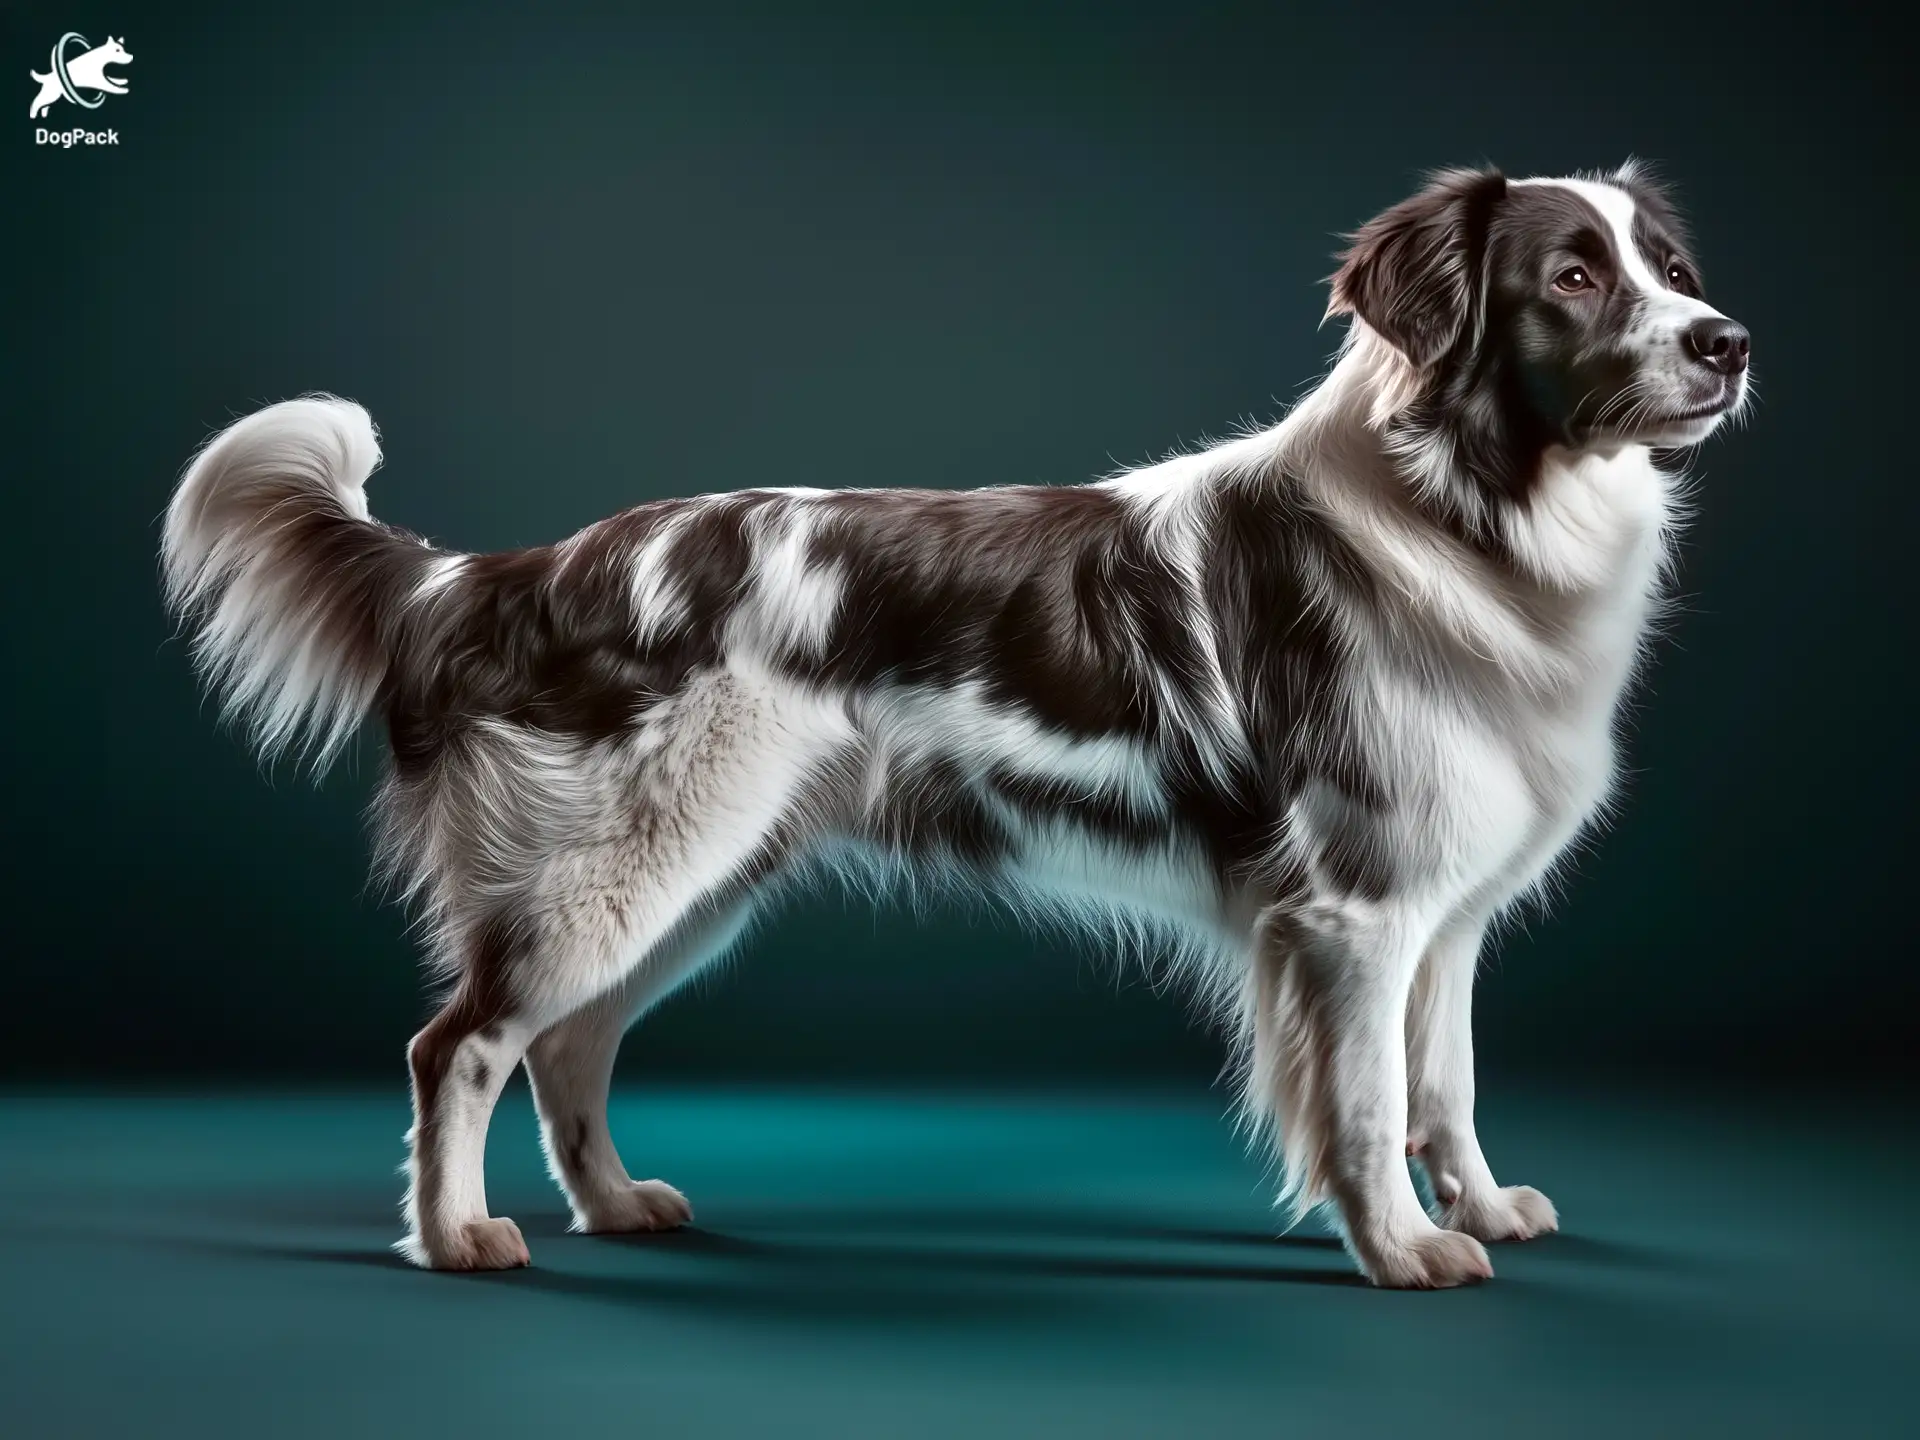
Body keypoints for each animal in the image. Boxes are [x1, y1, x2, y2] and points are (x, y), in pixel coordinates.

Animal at [161, 163, 1758, 1290]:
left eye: (1674, 270)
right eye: (1571, 276)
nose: (1729, 342)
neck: (1468, 510)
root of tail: (515, 571)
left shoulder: (1445, 911)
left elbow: (1449, 1084)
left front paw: (1477, 1204)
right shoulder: (1353, 912)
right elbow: (1370, 1106)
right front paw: (1409, 1249)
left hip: (690, 878)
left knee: (568, 1048)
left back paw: (613, 1205)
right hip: (618, 869)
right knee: (463, 1047)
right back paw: (456, 1239)